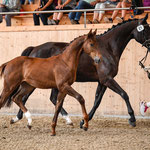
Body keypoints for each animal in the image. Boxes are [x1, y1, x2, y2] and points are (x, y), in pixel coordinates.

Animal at [8, 13, 150, 127]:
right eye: (147, 29)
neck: (107, 48)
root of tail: (34, 49)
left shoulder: (103, 81)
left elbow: (97, 101)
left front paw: (84, 121)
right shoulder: (107, 79)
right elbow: (124, 94)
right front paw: (132, 119)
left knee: (48, 98)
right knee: (24, 97)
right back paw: (19, 118)